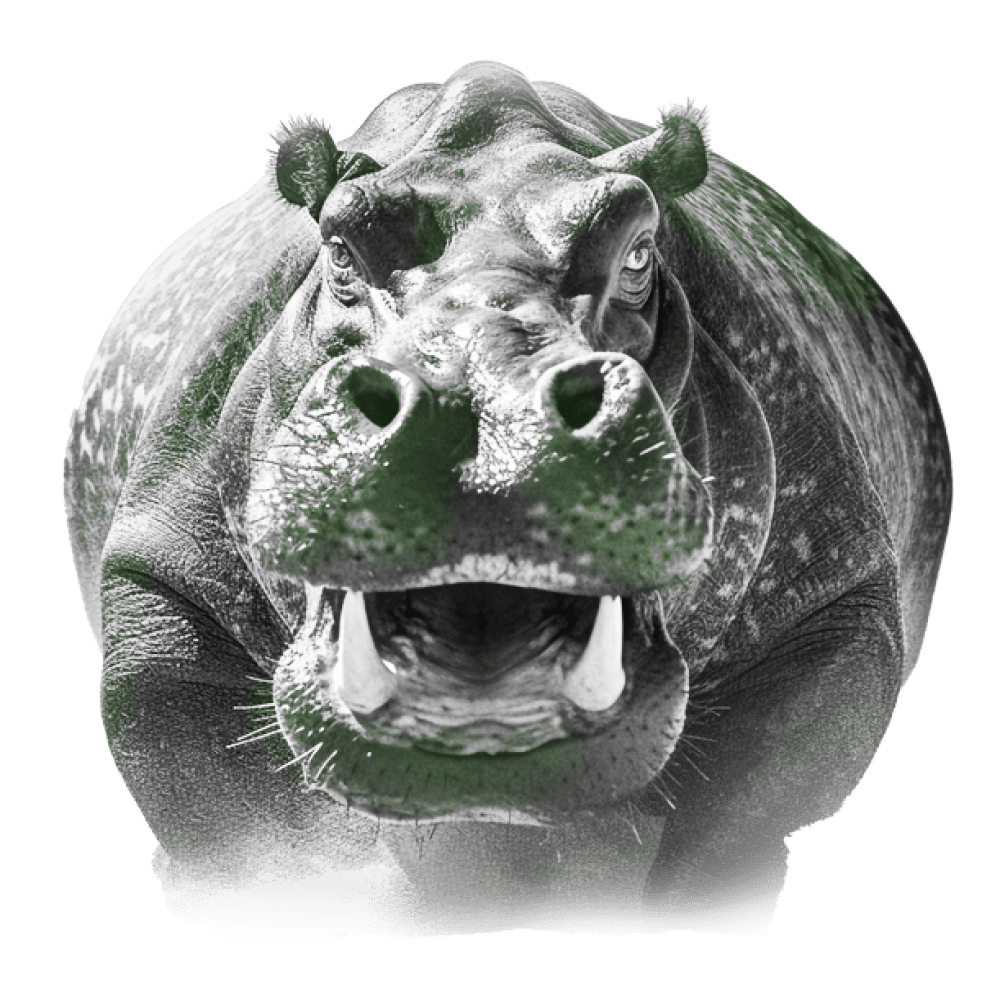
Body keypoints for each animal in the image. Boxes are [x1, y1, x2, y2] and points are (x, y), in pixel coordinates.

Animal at [63, 60, 952, 940]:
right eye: (340, 249)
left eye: (641, 249)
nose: (484, 388)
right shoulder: (164, 582)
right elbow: (221, 805)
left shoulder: (834, 601)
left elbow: (748, 806)